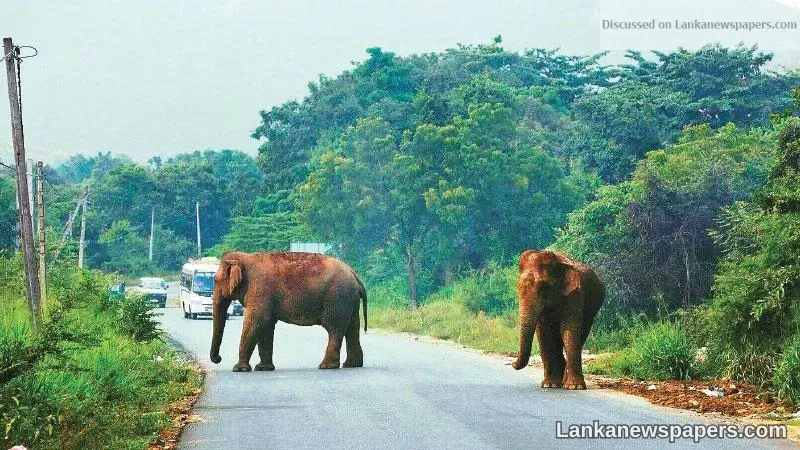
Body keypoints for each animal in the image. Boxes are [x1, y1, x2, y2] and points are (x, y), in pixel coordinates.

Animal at [209, 251, 368, 372]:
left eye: (215, 280)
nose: (218, 359)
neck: (246, 257)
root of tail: (355, 275)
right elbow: (267, 325)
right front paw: (263, 368)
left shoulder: (260, 288)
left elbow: (257, 321)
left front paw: (239, 369)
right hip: (349, 300)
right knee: (352, 329)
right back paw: (352, 365)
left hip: (337, 297)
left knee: (334, 329)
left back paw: (326, 366)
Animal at [511, 250, 604, 390]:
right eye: (518, 287)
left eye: (543, 287)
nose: (512, 364)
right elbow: (544, 331)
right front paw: (549, 385)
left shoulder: (575, 293)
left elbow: (569, 328)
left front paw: (575, 387)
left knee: (580, 334)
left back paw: (565, 382)